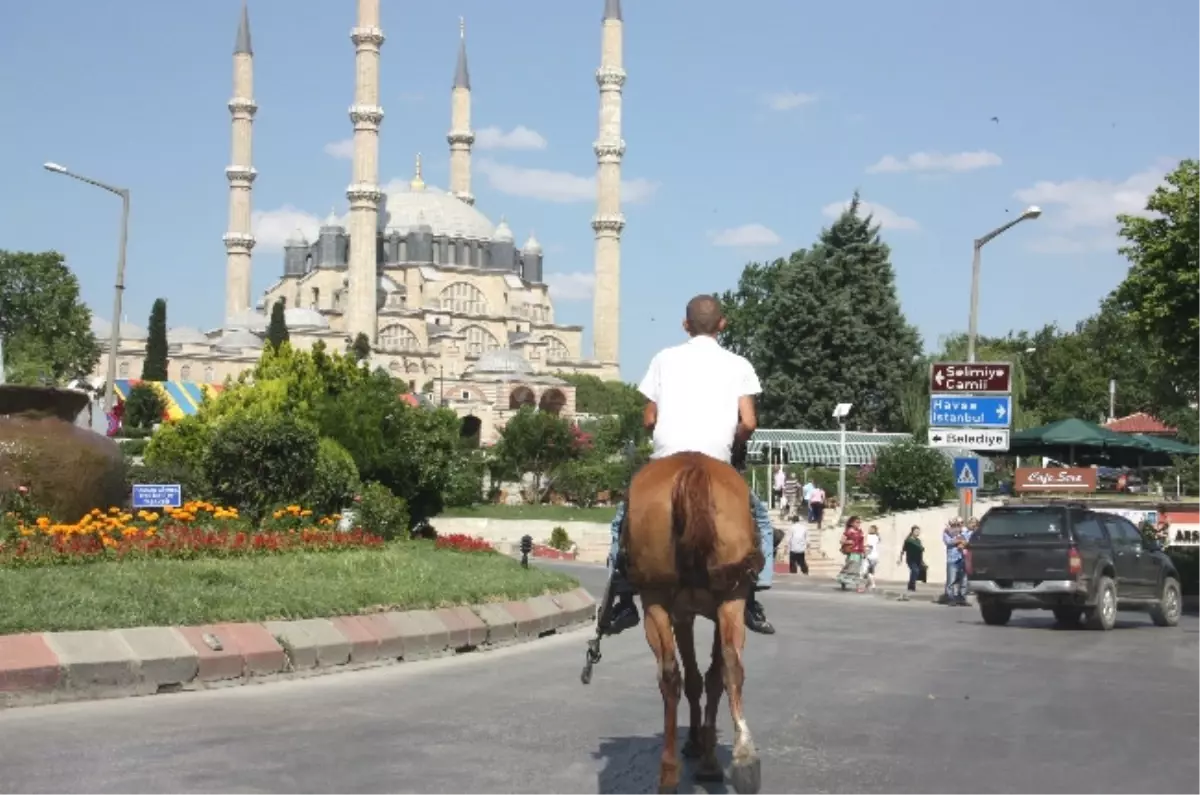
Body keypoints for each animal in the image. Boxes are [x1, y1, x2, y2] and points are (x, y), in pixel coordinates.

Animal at [624, 453, 763, 795]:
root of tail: (692, 464)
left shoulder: (685, 614)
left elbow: (700, 678)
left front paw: (700, 747)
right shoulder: (693, 614)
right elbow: (706, 678)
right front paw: (702, 747)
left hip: (658, 598)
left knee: (672, 673)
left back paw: (674, 772)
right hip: (729, 596)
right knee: (727, 666)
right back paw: (741, 758)